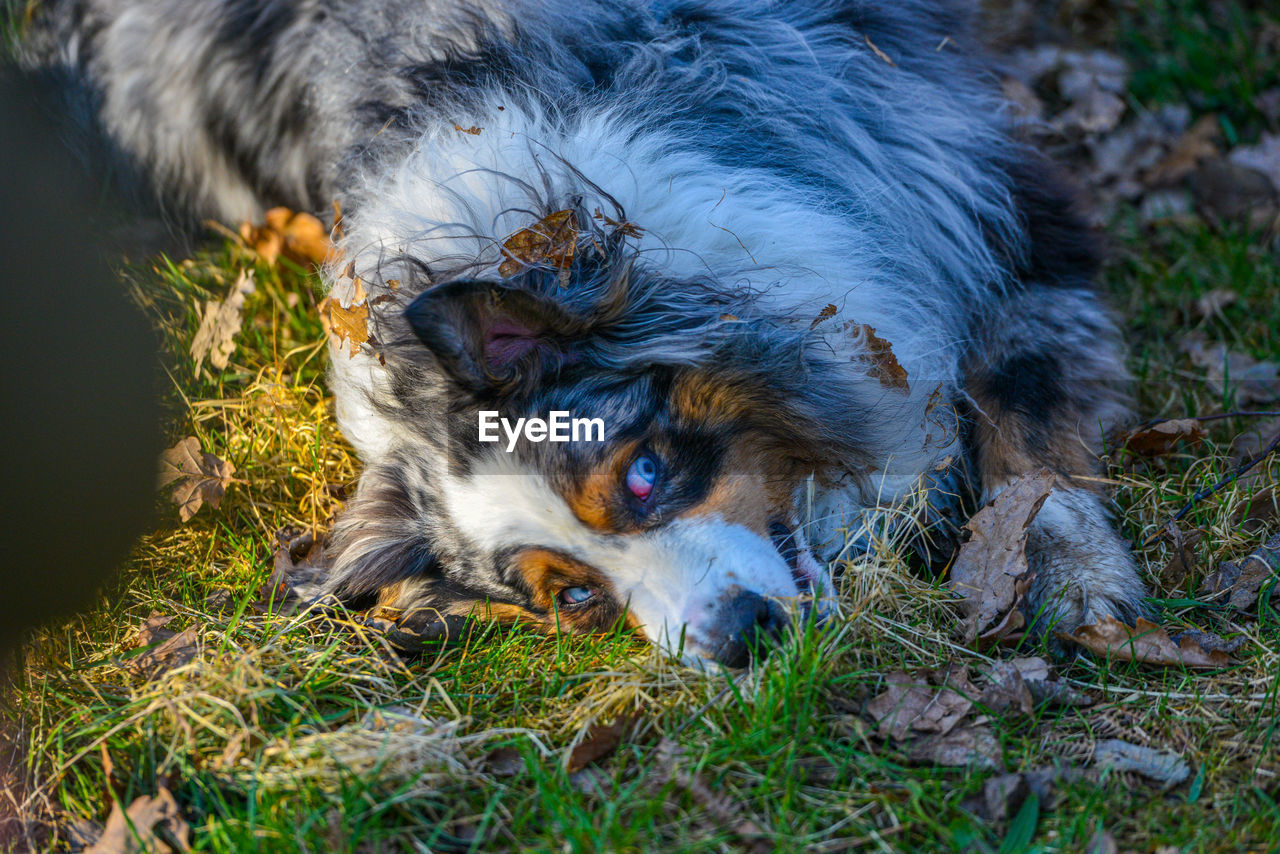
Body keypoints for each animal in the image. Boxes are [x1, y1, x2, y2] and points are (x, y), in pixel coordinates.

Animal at [20, 0, 1146, 665]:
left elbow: (1035, 452)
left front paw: (1082, 587)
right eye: (570, 600)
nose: (736, 642)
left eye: (643, 476)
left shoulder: (996, 225)